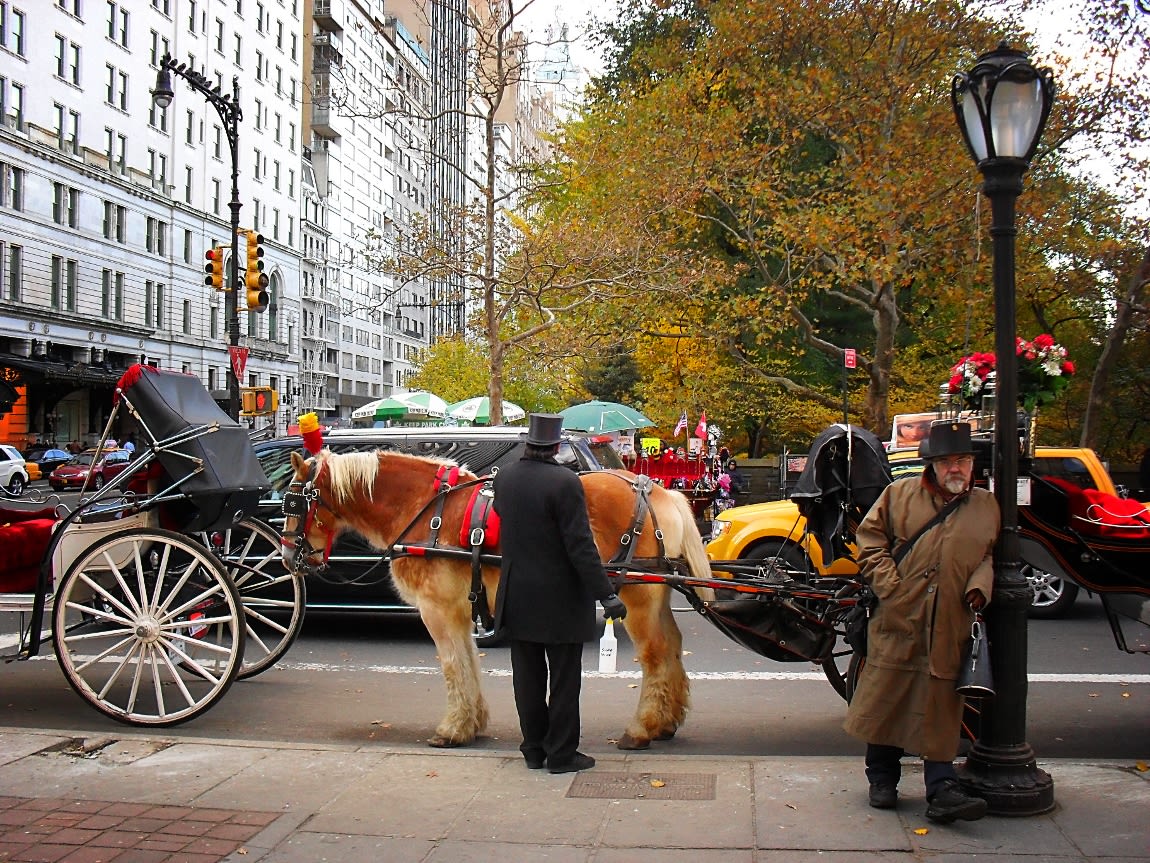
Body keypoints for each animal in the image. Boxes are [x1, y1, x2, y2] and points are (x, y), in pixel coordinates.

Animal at [278, 448, 708, 754]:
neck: (423, 508)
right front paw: (471, 723)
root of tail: (658, 490)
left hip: (637, 598)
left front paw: (453, 728)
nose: (286, 556)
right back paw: (666, 721)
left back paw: (642, 728)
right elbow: (467, 659)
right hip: (657, 596)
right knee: (673, 647)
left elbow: (452, 663)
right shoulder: (461, 609)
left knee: (655, 654)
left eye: (294, 503)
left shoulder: (437, 608)